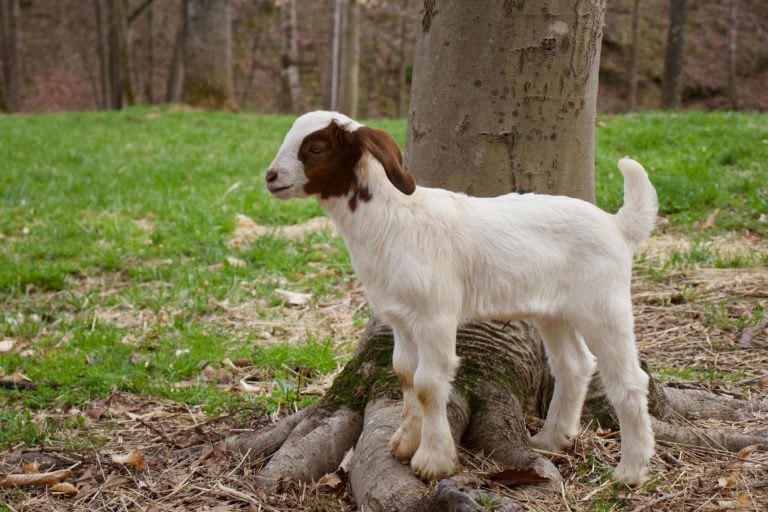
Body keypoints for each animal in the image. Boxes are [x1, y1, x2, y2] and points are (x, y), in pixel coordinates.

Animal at [265, 111, 658, 485]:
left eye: (315, 148)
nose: (270, 176)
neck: (393, 220)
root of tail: (618, 226)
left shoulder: (435, 314)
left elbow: (428, 383)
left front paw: (432, 461)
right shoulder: (400, 318)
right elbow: (404, 374)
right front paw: (405, 443)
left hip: (603, 304)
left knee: (629, 380)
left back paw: (631, 471)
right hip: (555, 312)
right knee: (574, 365)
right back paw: (549, 440)